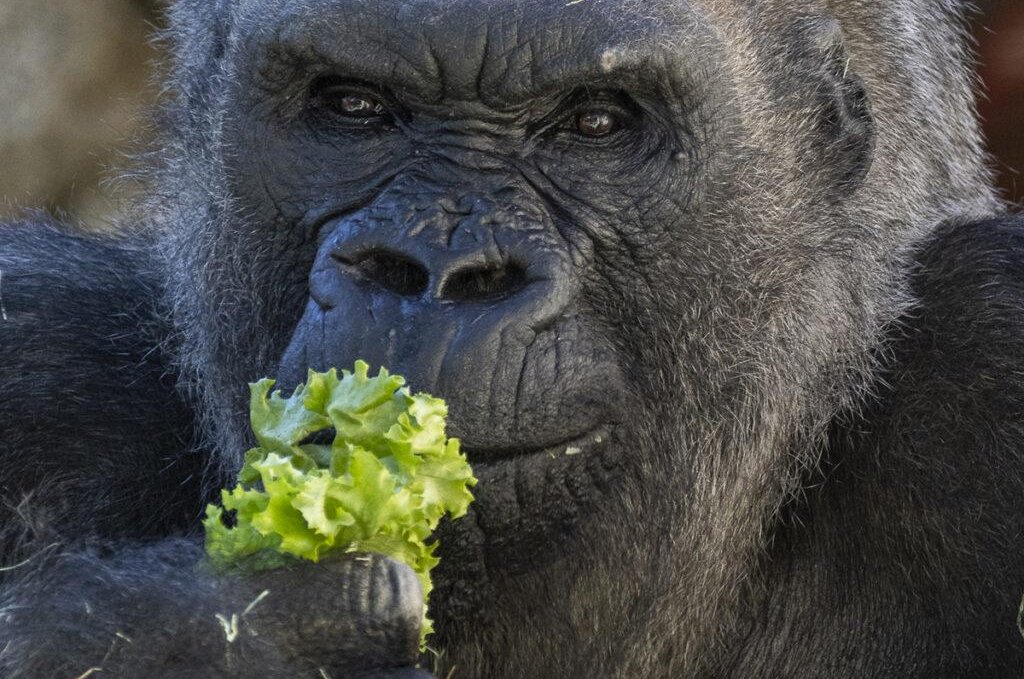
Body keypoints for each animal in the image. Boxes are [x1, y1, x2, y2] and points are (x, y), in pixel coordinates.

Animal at [2, 0, 1024, 675]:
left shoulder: (991, 356)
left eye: (596, 121)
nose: (435, 272)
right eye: (355, 106)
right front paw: (211, 633)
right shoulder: (40, 350)